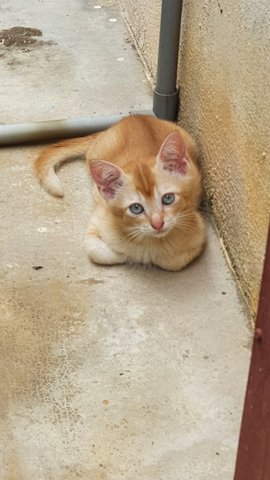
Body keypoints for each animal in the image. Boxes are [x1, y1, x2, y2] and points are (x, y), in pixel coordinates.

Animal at [34, 115, 206, 270]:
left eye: (168, 198)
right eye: (136, 208)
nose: (157, 224)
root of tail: (135, 117)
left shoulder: (198, 233)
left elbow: (173, 262)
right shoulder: (96, 222)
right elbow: (98, 252)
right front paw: (131, 255)